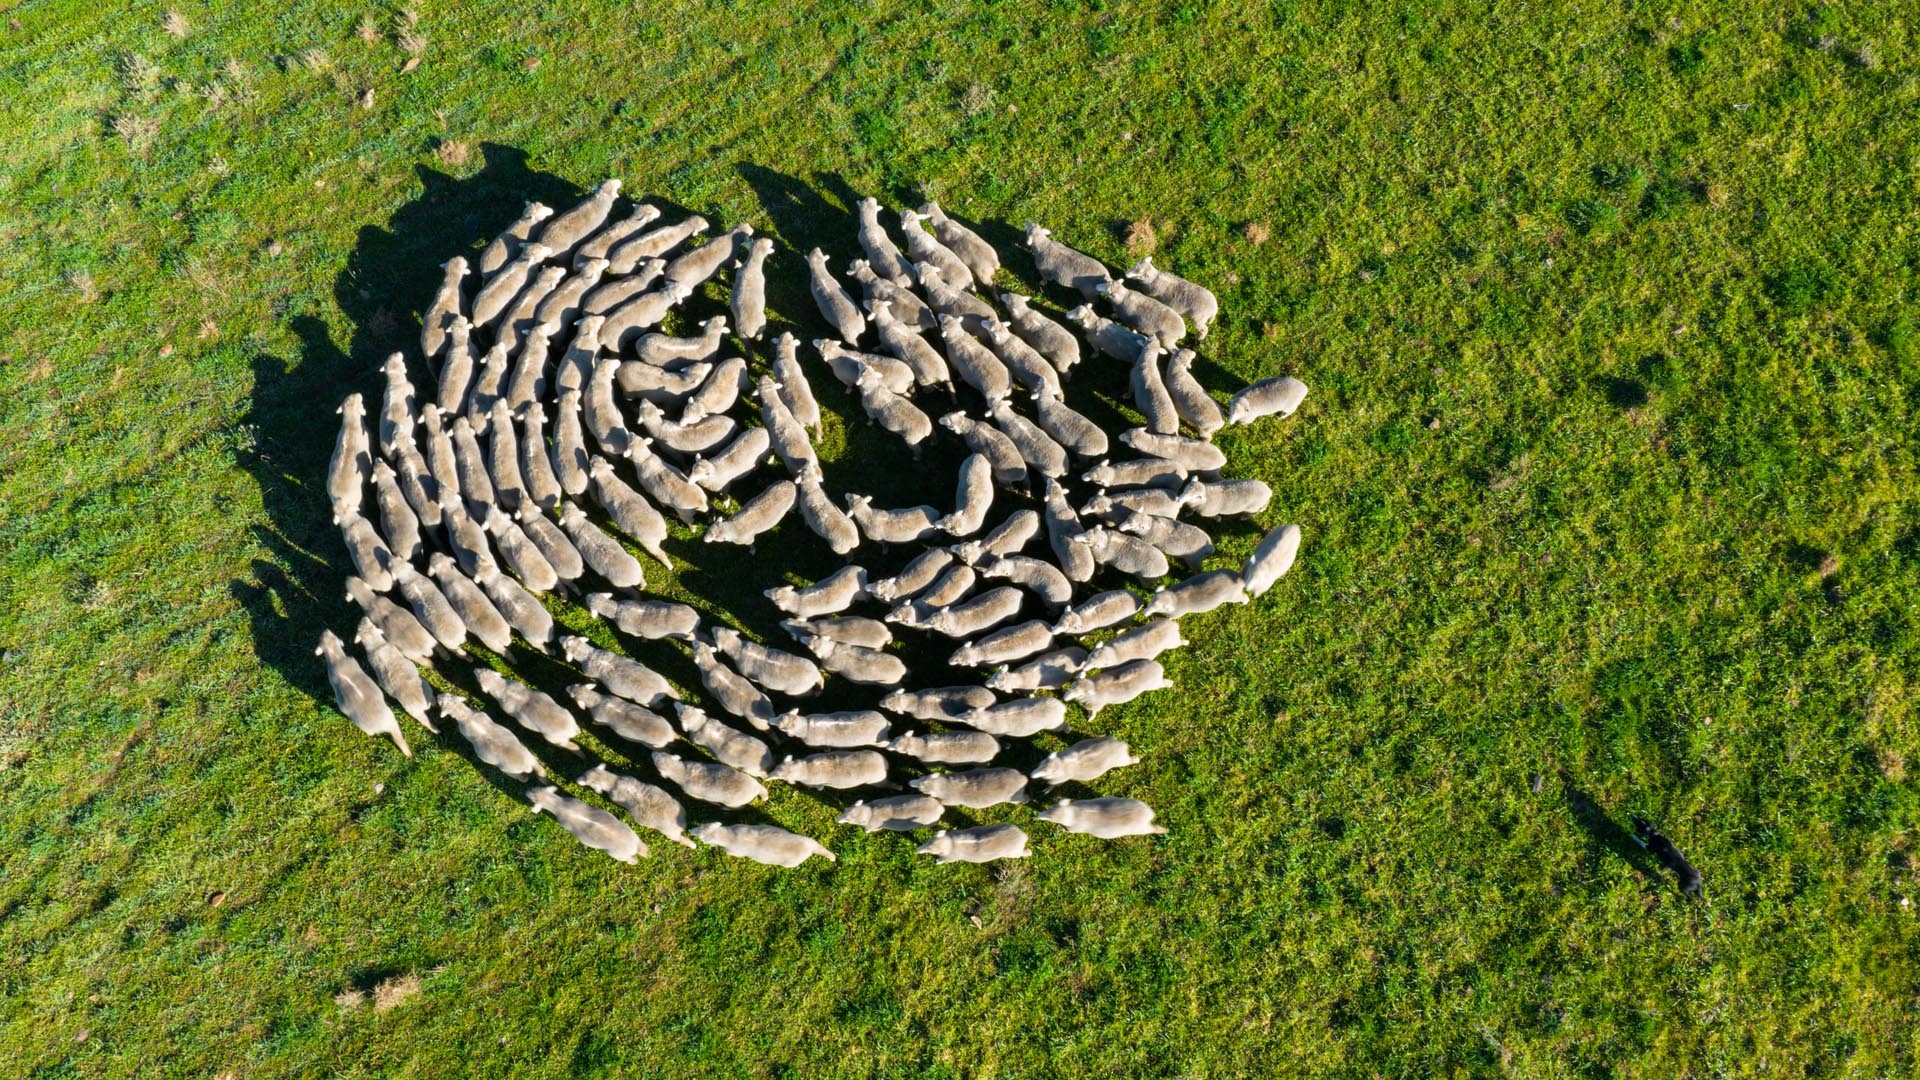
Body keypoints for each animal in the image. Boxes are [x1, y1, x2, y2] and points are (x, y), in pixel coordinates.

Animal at [692, 823, 836, 867]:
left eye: (700, 836)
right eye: (702, 825)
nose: (691, 830)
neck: (730, 836)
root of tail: (810, 847)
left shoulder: (735, 851)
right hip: (809, 839)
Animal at [1038, 797, 1167, 838]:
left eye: (1050, 818)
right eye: (1050, 806)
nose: (1038, 814)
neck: (1074, 813)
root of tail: (1149, 815)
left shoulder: (1074, 828)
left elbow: (1069, 831)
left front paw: (1061, 830)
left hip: (1142, 829)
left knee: (1153, 829)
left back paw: (1164, 830)